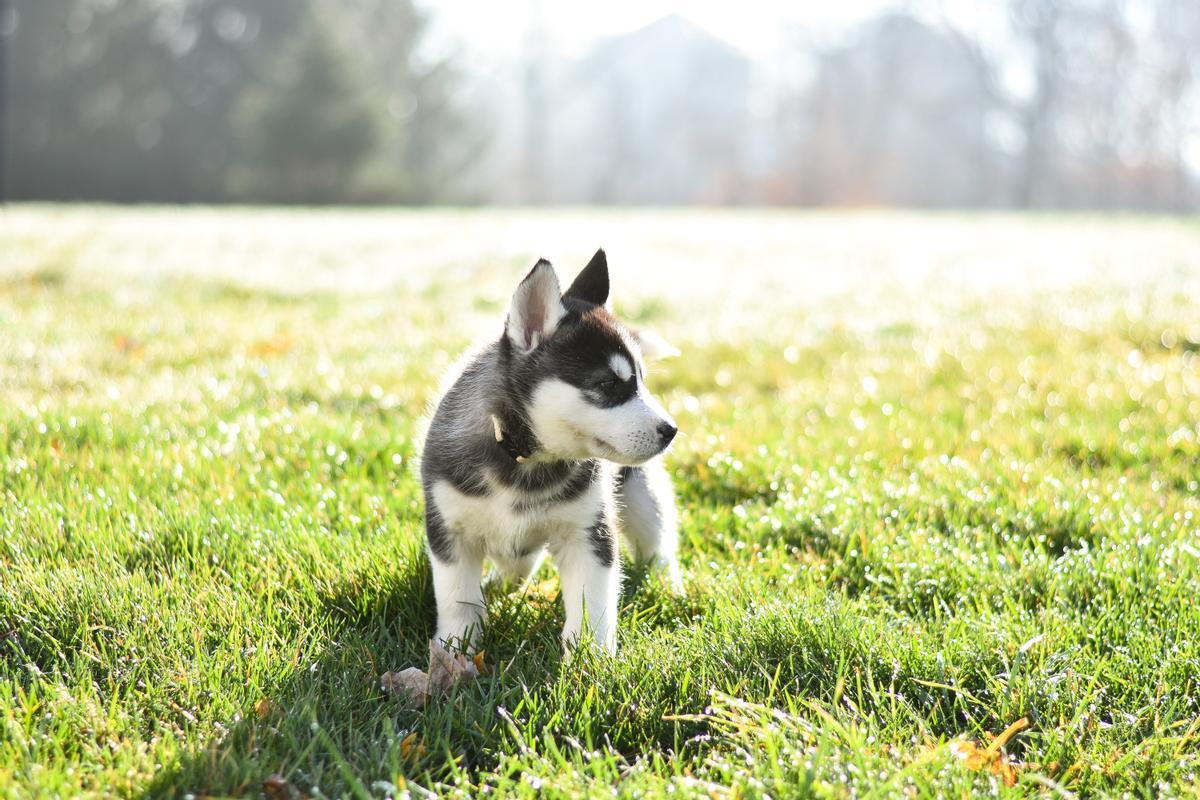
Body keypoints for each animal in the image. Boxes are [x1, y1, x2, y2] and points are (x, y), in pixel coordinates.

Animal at [422, 251, 686, 657]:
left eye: (642, 382)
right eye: (608, 385)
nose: (671, 430)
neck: (524, 461)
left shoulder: (589, 532)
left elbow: (591, 604)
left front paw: (591, 658)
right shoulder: (449, 529)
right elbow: (457, 598)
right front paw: (454, 650)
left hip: (640, 494)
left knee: (658, 543)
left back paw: (670, 588)